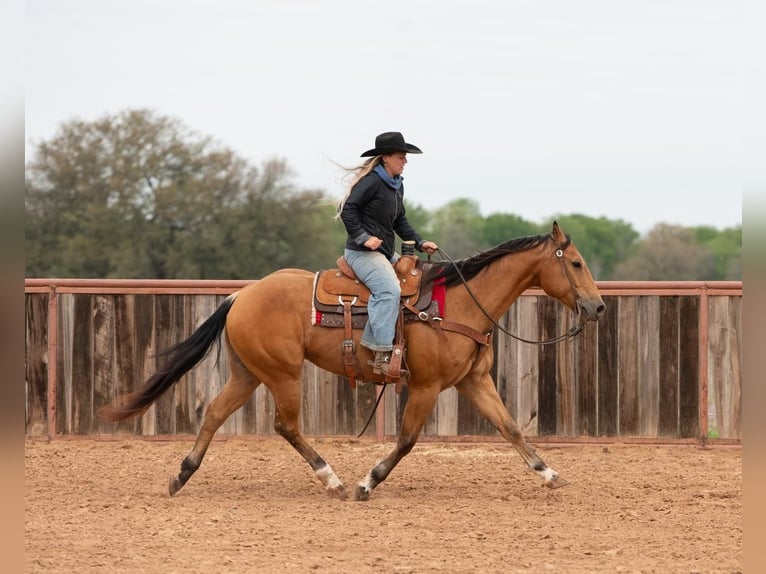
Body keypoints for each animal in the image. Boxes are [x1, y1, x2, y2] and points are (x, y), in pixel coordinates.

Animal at [101, 221, 605, 500]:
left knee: (214, 413)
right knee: (286, 425)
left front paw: (550, 474)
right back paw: (334, 481)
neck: (461, 303)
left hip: (248, 373)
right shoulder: (425, 387)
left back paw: (181, 475)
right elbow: (406, 440)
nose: (598, 307)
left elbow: (512, 428)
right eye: (576, 263)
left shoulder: (474, 382)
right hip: (283, 374)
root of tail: (242, 294)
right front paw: (368, 483)